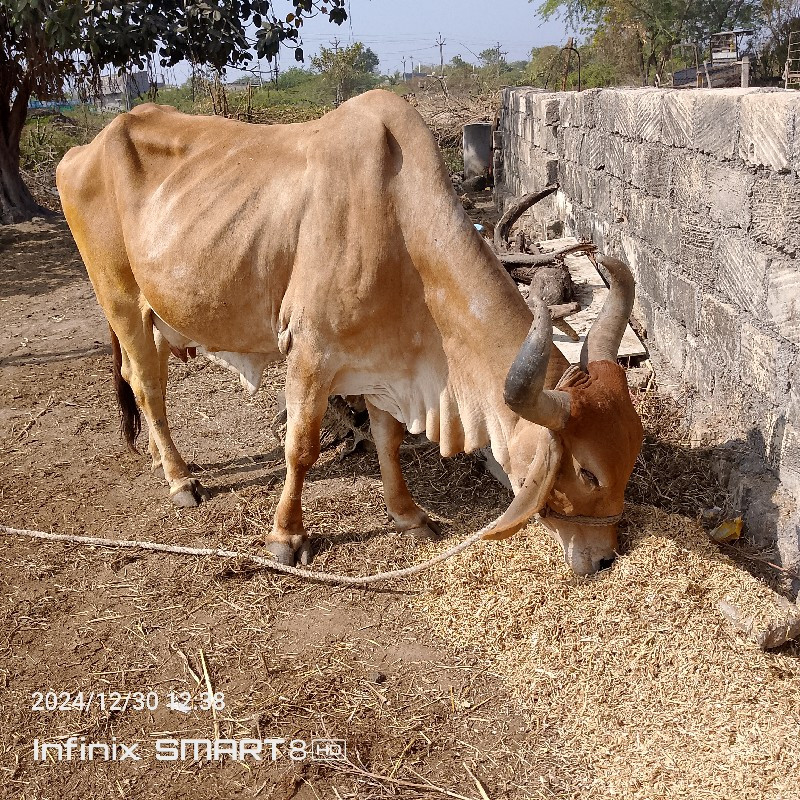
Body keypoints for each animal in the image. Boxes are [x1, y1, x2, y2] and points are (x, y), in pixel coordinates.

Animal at [56, 89, 644, 576]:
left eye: (631, 457)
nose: (605, 558)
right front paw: (286, 538)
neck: (400, 226)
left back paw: (166, 461)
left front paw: (409, 515)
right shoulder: (311, 353)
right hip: (122, 301)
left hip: (158, 314)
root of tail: (83, 149)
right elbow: (300, 447)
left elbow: (388, 438)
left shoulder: (385, 363)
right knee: (148, 388)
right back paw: (180, 479)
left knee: (145, 379)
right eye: (587, 473)